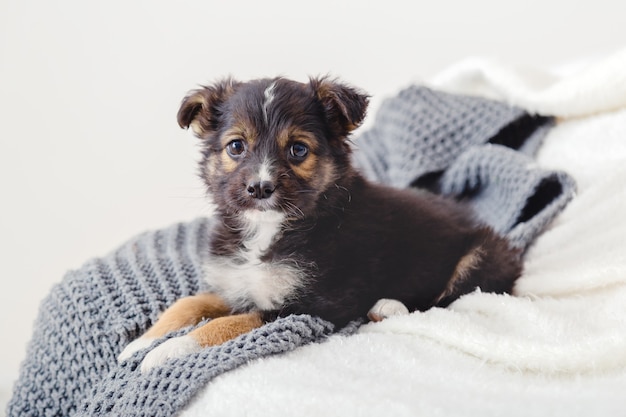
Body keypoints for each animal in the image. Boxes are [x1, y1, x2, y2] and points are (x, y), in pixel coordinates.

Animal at [118, 75, 520, 370]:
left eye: (298, 150)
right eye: (236, 146)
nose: (259, 188)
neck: (270, 229)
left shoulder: (313, 304)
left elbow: (230, 322)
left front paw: (168, 351)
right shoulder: (235, 283)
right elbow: (189, 303)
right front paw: (141, 342)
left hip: (484, 255)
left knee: (446, 300)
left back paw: (388, 306)